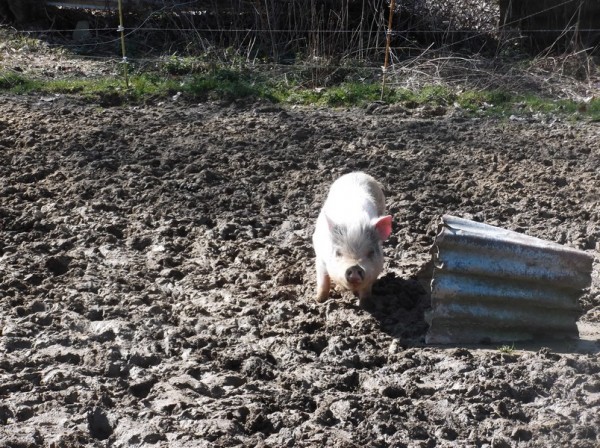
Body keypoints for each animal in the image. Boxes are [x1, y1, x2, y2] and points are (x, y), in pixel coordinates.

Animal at [312, 172, 392, 304]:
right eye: (338, 253)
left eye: (371, 252)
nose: (355, 267)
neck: (354, 223)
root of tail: (357, 173)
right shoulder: (320, 259)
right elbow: (323, 281)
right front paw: (319, 300)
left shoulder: (375, 269)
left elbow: (366, 289)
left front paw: (367, 304)